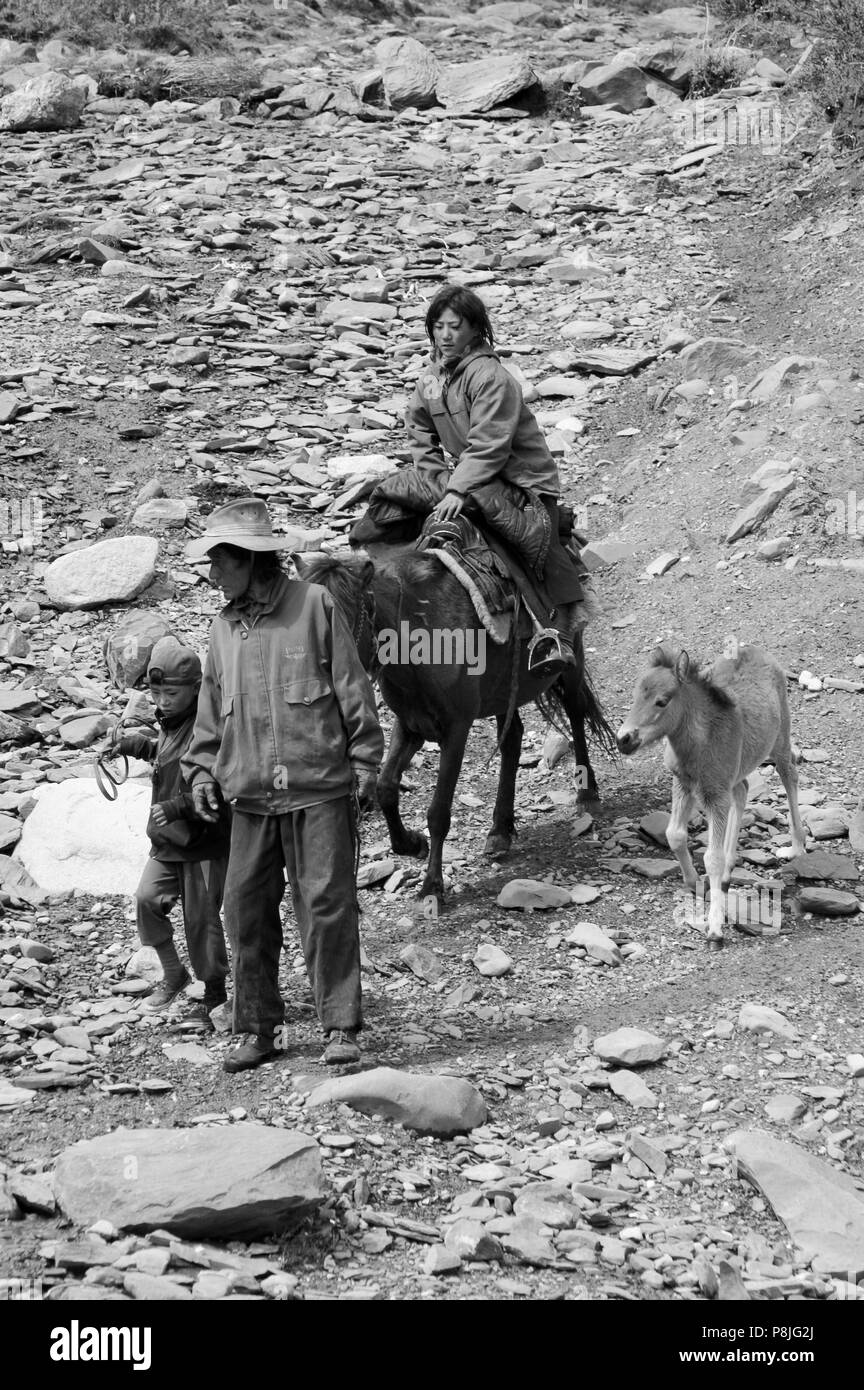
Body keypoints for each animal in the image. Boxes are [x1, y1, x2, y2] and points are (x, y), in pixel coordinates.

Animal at [297, 547, 616, 906]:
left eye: (338, 620)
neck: (420, 639)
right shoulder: (411, 724)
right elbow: (386, 788)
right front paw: (412, 844)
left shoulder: (456, 730)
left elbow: (438, 812)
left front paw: (431, 886)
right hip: (504, 692)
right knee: (512, 739)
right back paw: (499, 831)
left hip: (570, 660)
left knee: (575, 713)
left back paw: (586, 794)